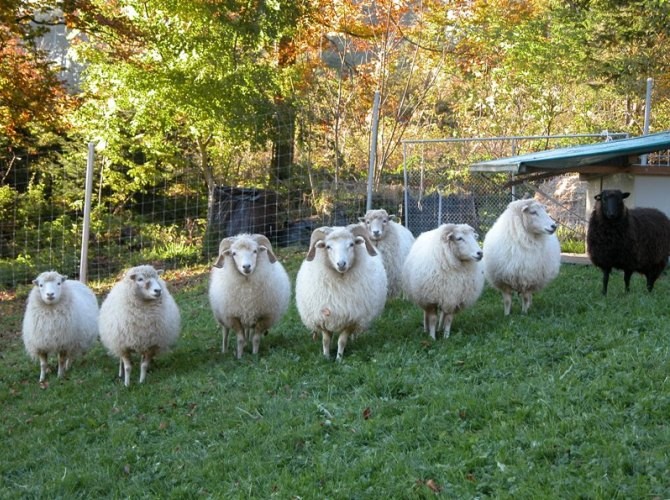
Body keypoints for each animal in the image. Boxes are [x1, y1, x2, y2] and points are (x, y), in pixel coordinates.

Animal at [296, 225, 386, 362]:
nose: (341, 264)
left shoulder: (350, 318)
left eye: (351, 244)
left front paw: (339, 359)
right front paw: (326, 357)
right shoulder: (323, 318)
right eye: (328, 246)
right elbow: (326, 340)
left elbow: (342, 341)